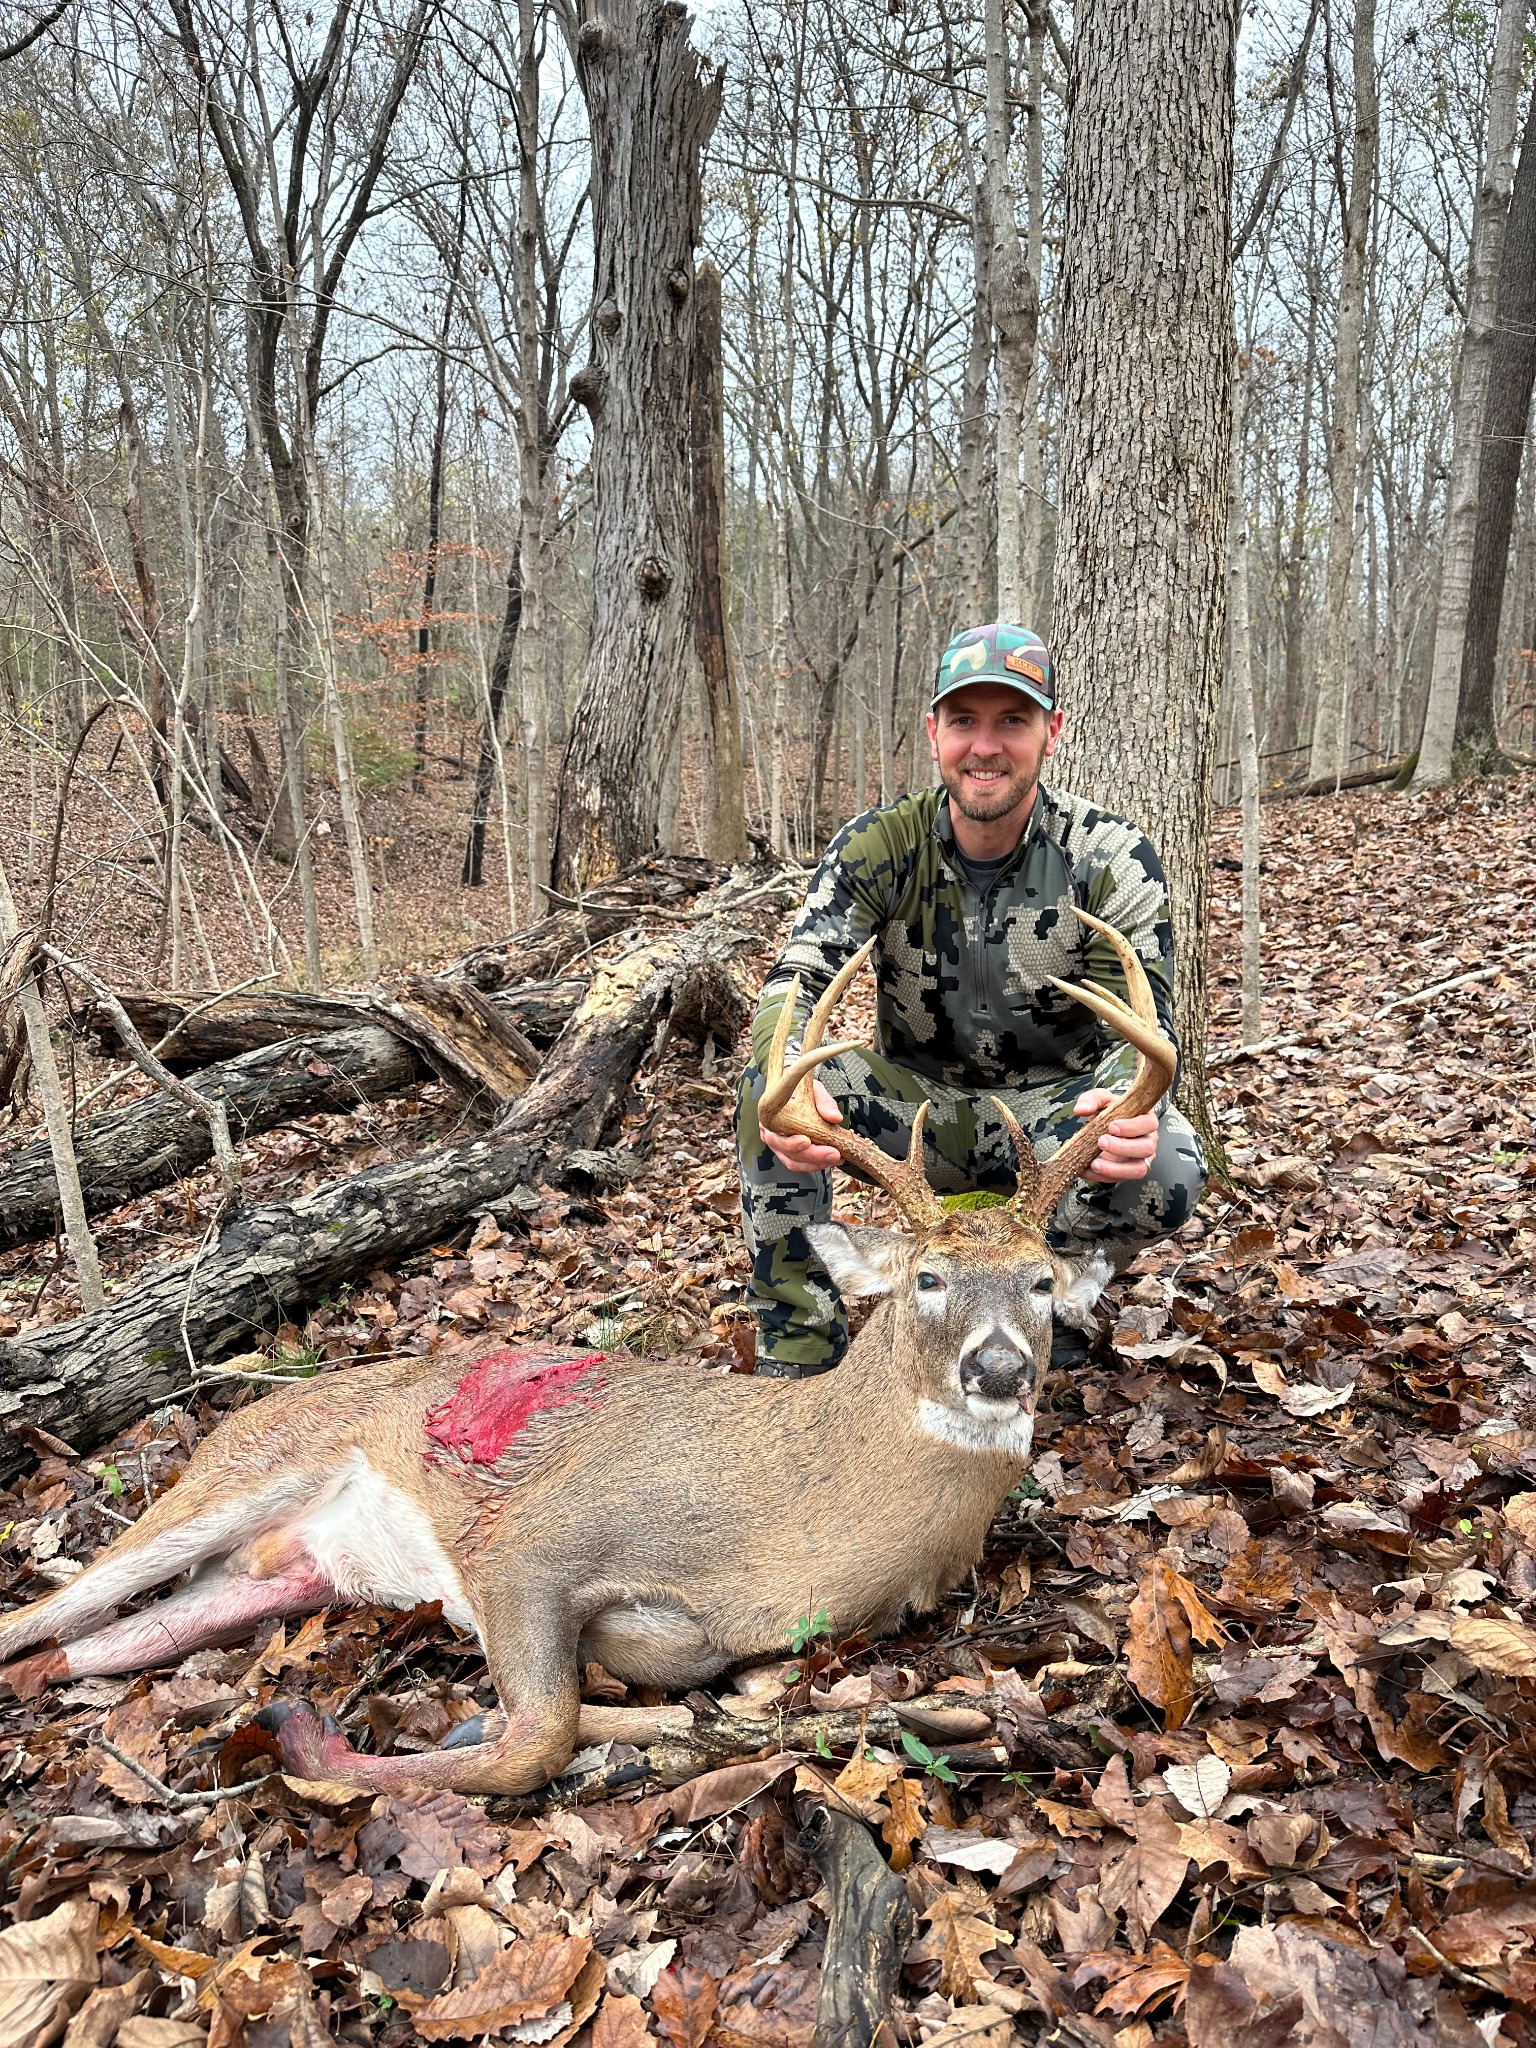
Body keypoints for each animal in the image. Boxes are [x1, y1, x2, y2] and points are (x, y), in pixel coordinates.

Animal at [0, 910, 1175, 1797]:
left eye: (1040, 1282)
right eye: (927, 1278)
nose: (998, 1368)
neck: (788, 1525)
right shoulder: (527, 1539)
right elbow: (536, 1737)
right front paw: (321, 1738)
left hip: (272, 1579)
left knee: (66, 1650)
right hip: (238, 1472)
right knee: (37, 1612)